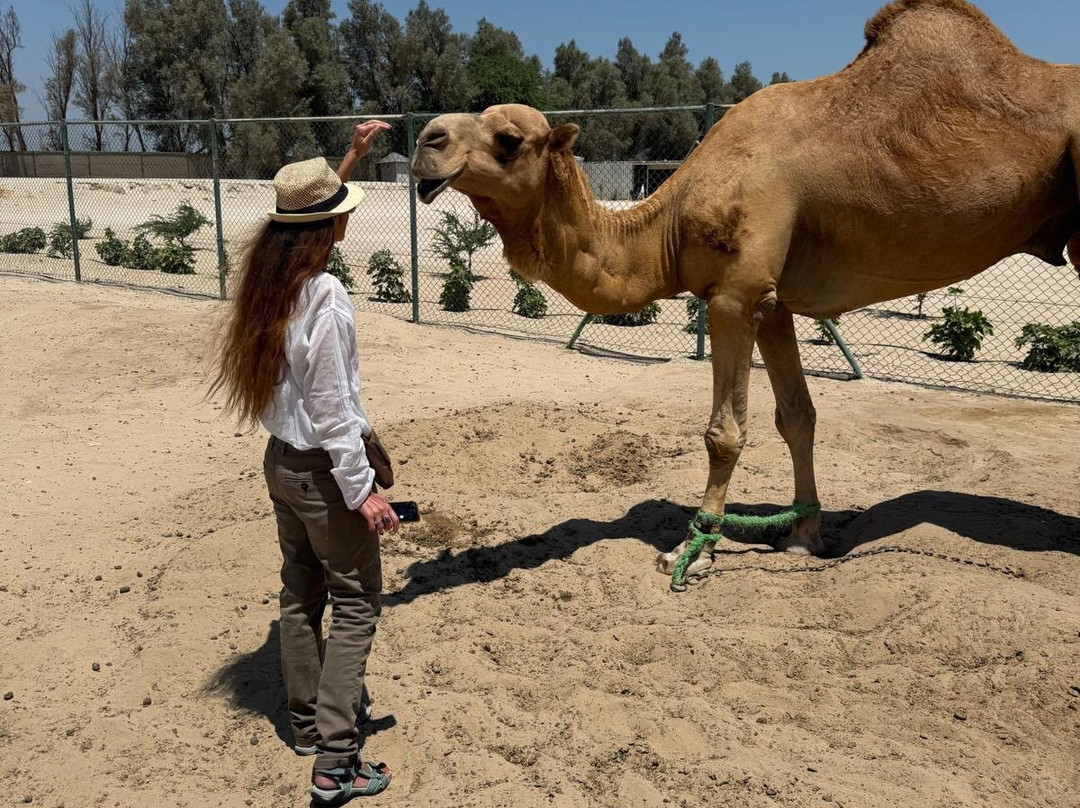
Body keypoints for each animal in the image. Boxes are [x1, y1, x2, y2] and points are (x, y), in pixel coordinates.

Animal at [409, 0, 1080, 583]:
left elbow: (723, 432)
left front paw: (694, 549)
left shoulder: (735, 294)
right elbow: (797, 415)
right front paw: (804, 536)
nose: (426, 141)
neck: (670, 221)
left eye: (508, 140)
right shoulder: (773, 301)